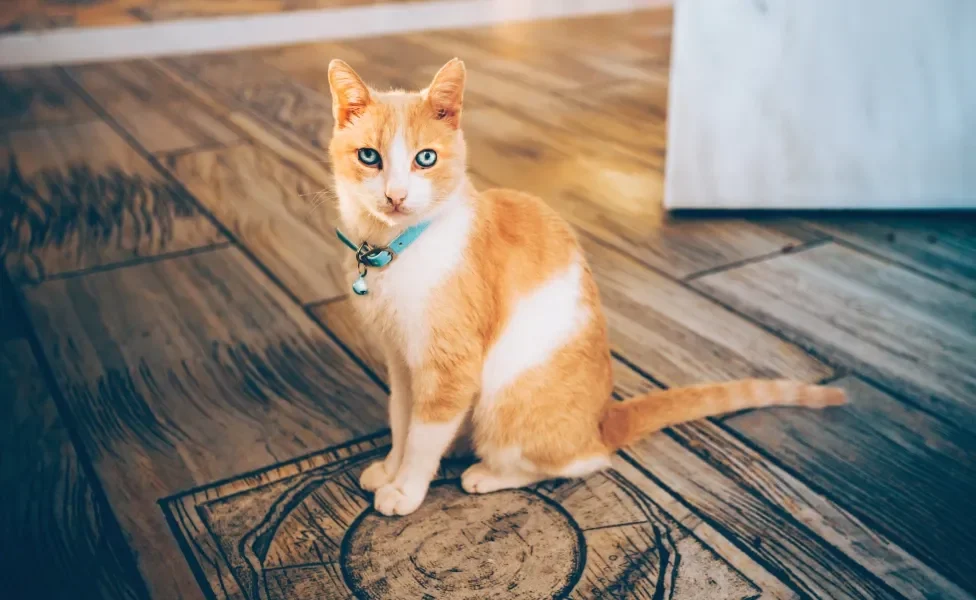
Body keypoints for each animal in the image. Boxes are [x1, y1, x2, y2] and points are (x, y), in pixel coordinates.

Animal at [328, 57, 848, 516]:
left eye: (426, 158)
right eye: (369, 157)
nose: (396, 196)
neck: (395, 250)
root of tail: (602, 419)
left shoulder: (451, 366)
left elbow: (423, 437)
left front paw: (406, 489)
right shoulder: (401, 360)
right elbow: (402, 420)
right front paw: (390, 469)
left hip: (505, 398)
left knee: (583, 461)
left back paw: (486, 473)